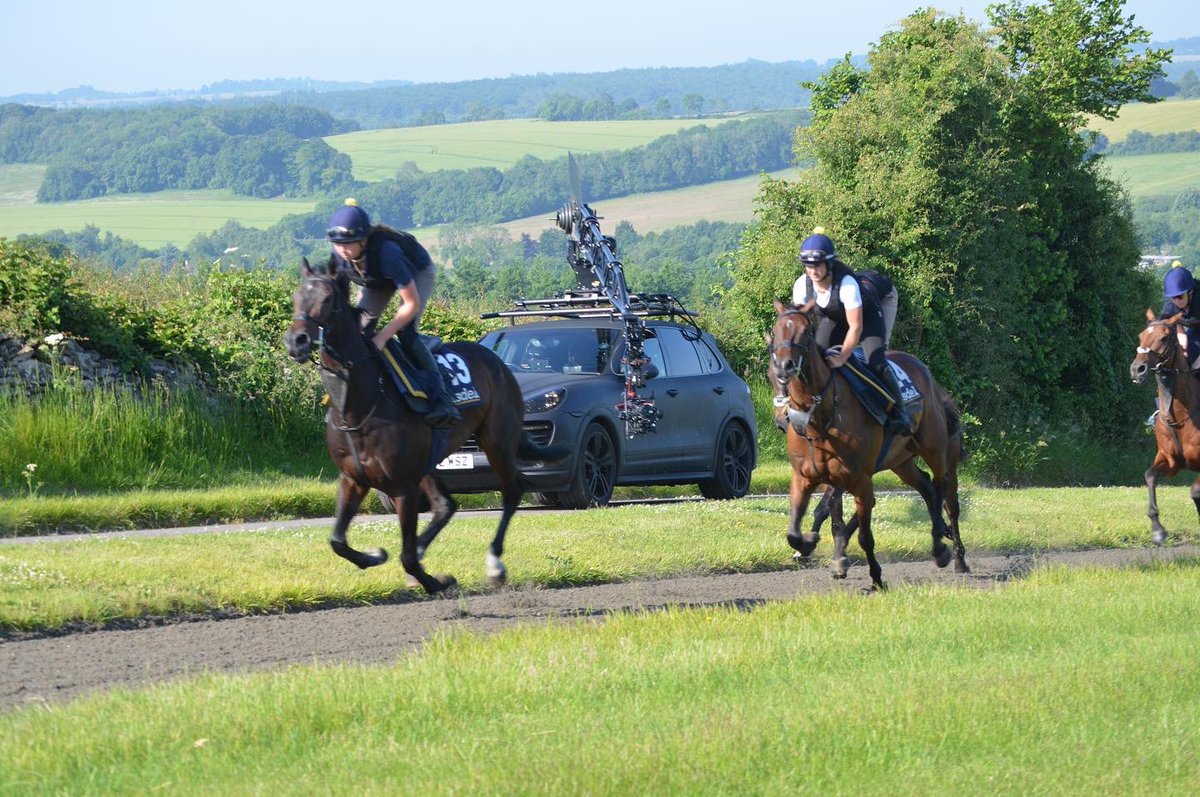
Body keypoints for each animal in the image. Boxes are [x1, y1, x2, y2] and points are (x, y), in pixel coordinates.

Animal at [284, 258, 566, 594]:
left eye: (327, 299)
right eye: (296, 296)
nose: (296, 341)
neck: (358, 404)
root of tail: (498, 362)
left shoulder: (403, 485)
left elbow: (405, 555)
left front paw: (434, 581)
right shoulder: (353, 479)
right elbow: (337, 540)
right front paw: (374, 556)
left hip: (496, 441)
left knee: (512, 491)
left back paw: (494, 564)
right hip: (430, 461)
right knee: (446, 505)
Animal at [767, 298, 968, 589]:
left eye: (805, 332)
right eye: (775, 332)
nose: (785, 367)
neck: (820, 417)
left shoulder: (858, 478)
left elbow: (860, 530)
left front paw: (875, 577)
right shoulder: (806, 476)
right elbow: (799, 528)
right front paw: (809, 545)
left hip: (937, 452)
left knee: (946, 496)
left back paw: (954, 553)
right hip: (902, 463)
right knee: (927, 487)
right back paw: (939, 543)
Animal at [1129, 309, 1200, 545]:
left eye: (1165, 337)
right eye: (1141, 336)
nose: (1137, 369)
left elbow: (1195, 491)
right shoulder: (1170, 460)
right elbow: (1150, 475)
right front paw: (1157, 530)